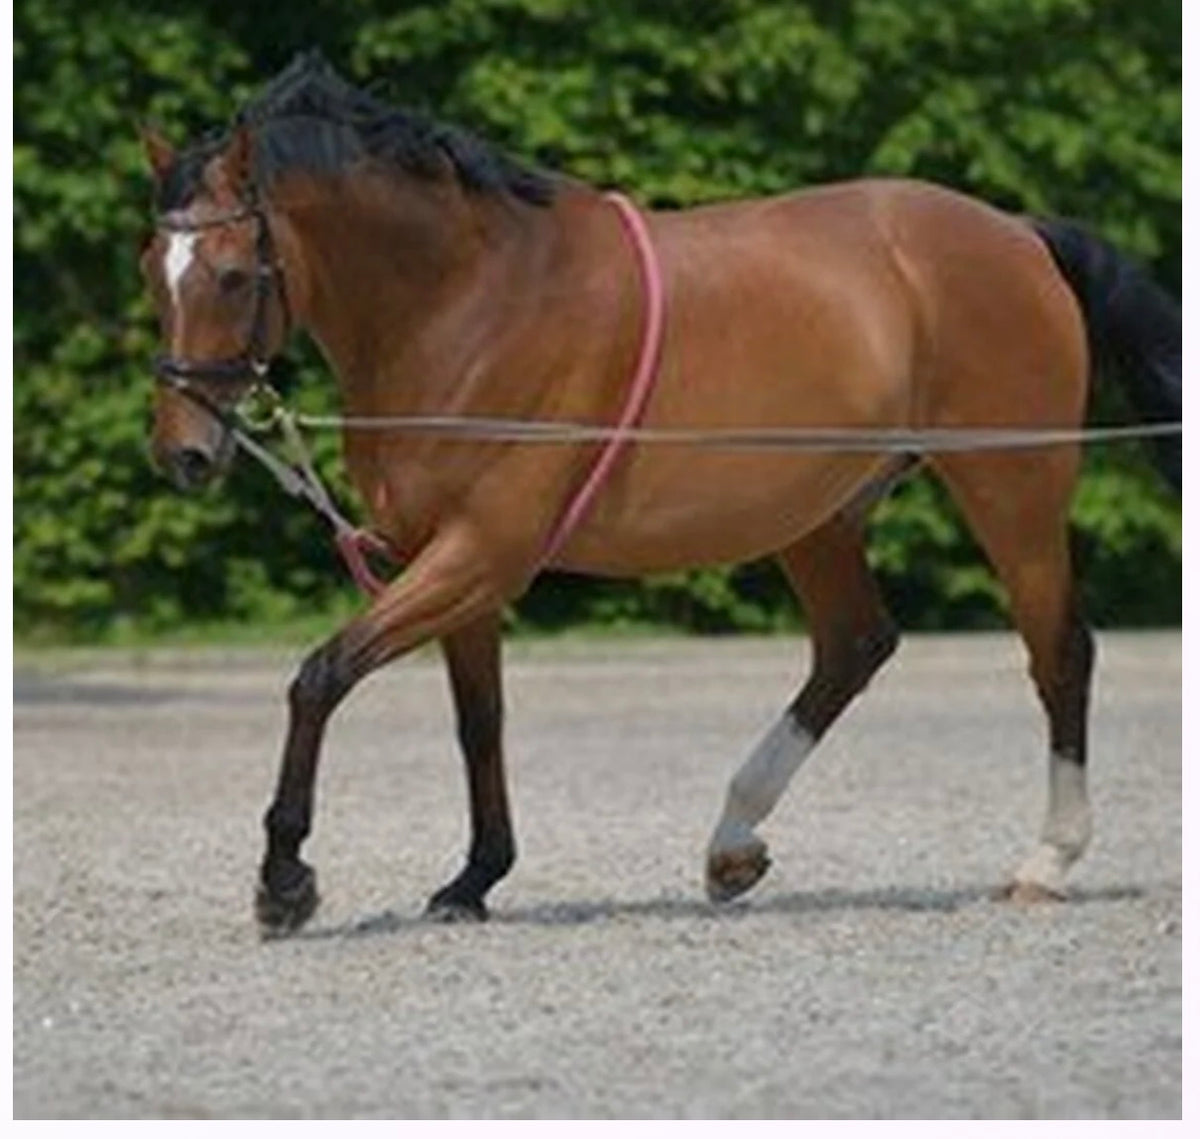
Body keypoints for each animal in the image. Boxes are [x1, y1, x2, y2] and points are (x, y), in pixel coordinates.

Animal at [140, 53, 1180, 935]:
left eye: (233, 274)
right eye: (155, 273)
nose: (183, 453)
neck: (469, 300)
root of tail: (1018, 234)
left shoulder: (480, 553)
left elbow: (320, 676)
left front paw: (284, 882)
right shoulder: (454, 564)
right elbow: (479, 721)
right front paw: (474, 879)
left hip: (1013, 491)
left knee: (1059, 652)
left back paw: (1046, 861)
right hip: (816, 516)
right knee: (855, 645)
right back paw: (731, 847)